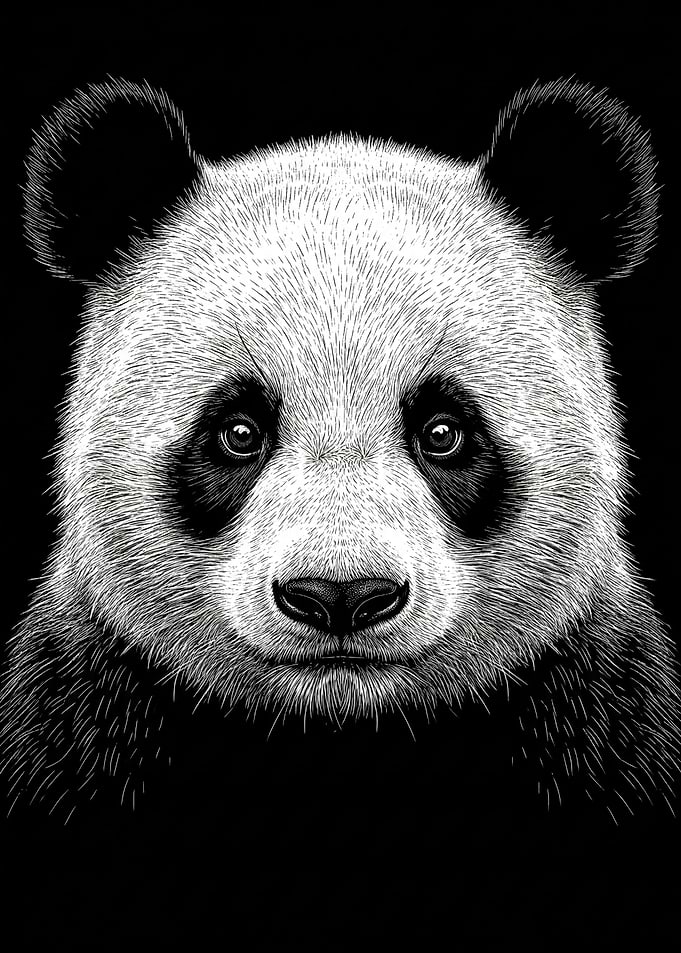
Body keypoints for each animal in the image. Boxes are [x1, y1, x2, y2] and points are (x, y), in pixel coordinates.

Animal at [1, 76, 678, 822]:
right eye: (238, 431)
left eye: (443, 431)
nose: (340, 594)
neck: (339, 722)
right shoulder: (86, 700)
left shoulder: (593, 701)